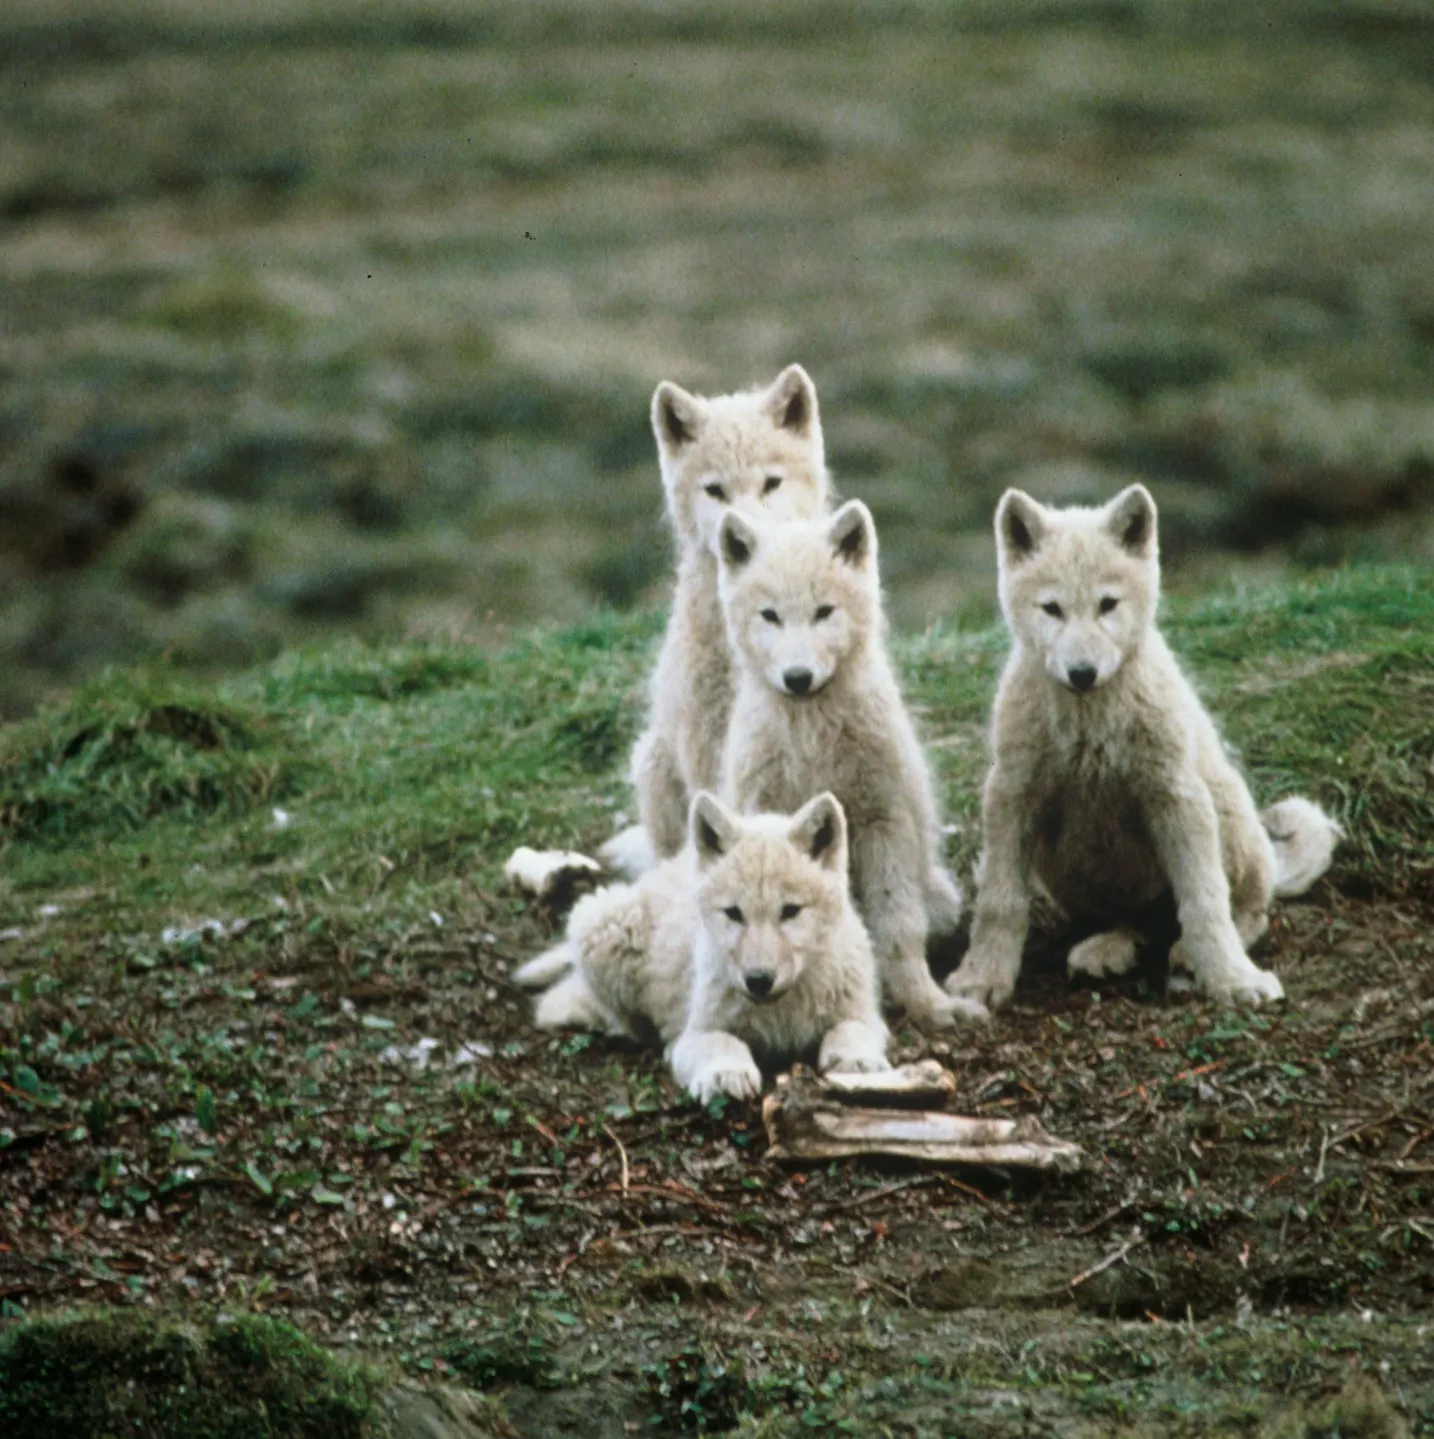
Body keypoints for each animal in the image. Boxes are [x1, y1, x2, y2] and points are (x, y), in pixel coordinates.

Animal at [515, 792, 890, 1104]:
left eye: (790, 911)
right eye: (734, 913)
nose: (758, 980)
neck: (781, 1011)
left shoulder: (867, 1018)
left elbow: (849, 1030)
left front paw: (855, 1062)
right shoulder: (699, 1030)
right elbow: (721, 1042)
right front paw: (726, 1073)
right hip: (600, 924)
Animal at [715, 501, 984, 1030]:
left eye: (824, 612)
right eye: (770, 616)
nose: (798, 678)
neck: (812, 739)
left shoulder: (884, 821)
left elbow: (898, 927)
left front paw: (928, 1004)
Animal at [946, 484, 1341, 1012]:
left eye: (1107, 604)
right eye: (1052, 609)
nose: (1082, 674)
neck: (1089, 722)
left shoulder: (1176, 795)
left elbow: (1204, 900)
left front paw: (1232, 980)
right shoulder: (1012, 794)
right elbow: (1000, 901)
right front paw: (982, 977)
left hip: (1226, 815)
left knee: (1245, 912)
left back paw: (1191, 954)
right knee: (1133, 922)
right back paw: (1109, 948)